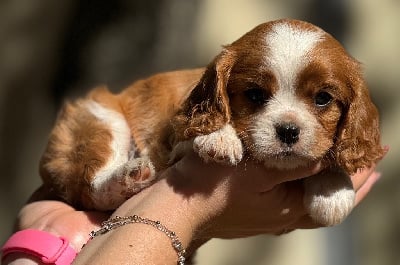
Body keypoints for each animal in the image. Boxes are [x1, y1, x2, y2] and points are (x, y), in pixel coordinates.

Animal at [39, 18, 384, 225]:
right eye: (255, 95)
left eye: (323, 98)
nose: (288, 130)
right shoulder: (174, 137)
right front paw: (220, 137)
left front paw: (333, 191)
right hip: (100, 118)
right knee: (91, 186)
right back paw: (129, 177)